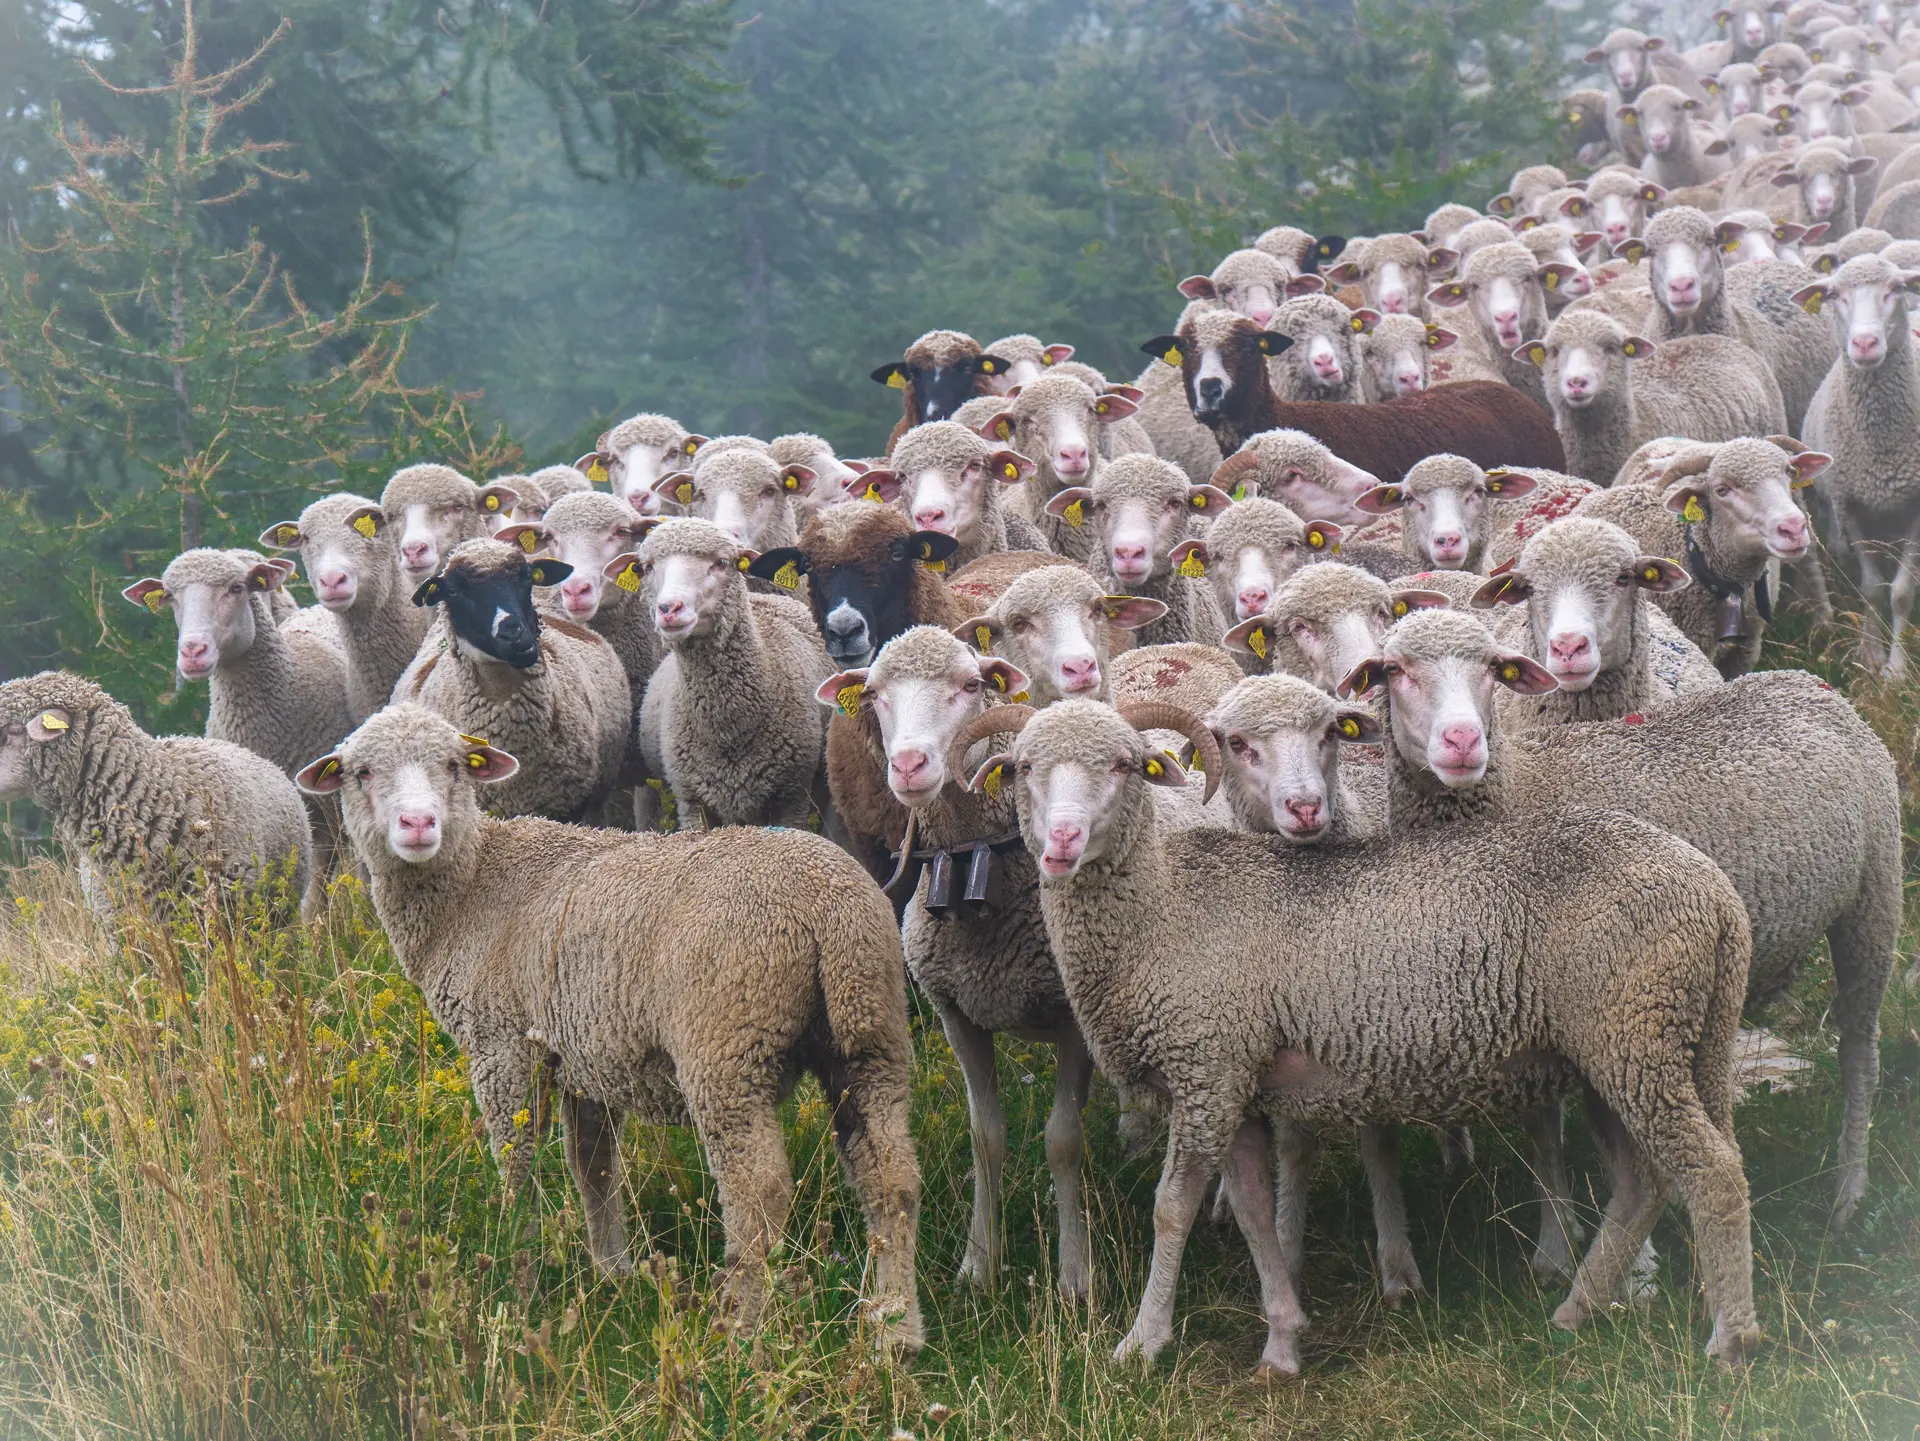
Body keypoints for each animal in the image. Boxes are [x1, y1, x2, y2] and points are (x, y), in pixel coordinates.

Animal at [294, 704, 922, 1349]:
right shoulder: (584, 1054)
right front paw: (612, 1269)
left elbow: (516, 1164)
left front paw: (521, 1275)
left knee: (760, 1189)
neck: (471, 888)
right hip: (869, 1030)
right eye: (363, 772)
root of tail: (825, 906)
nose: (418, 823)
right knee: (890, 1173)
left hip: (727, 1042)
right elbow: (593, 1166)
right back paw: (895, 1328)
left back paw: (742, 1331)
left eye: (452, 765)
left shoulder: (501, 1046)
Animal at [629, 519, 833, 829]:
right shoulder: (691, 800)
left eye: (722, 562)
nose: (669, 608)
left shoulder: (792, 797)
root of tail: (761, 597)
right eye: (646, 567)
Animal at [972, 687, 1759, 1375]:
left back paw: (1730, 1339)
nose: (1063, 842)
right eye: (1025, 768)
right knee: (1645, 1181)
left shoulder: (1204, 1069)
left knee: (1711, 1169)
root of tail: (1717, 896)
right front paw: (1282, 1343)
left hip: (1634, 1033)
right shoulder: (1236, 1082)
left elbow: (1173, 1210)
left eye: (1124, 765)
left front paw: (1143, 1341)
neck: (1159, 910)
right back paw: (1579, 1309)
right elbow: (1254, 1212)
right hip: (1634, 1046)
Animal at [1798, 253, 1920, 672]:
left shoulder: (1917, 509)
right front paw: (1871, 654)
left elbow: (1900, 592)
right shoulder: (1850, 503)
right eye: (1834, 295)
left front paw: (1896, 670)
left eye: (1896, 288)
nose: (1864, 343)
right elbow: (1871, 588)